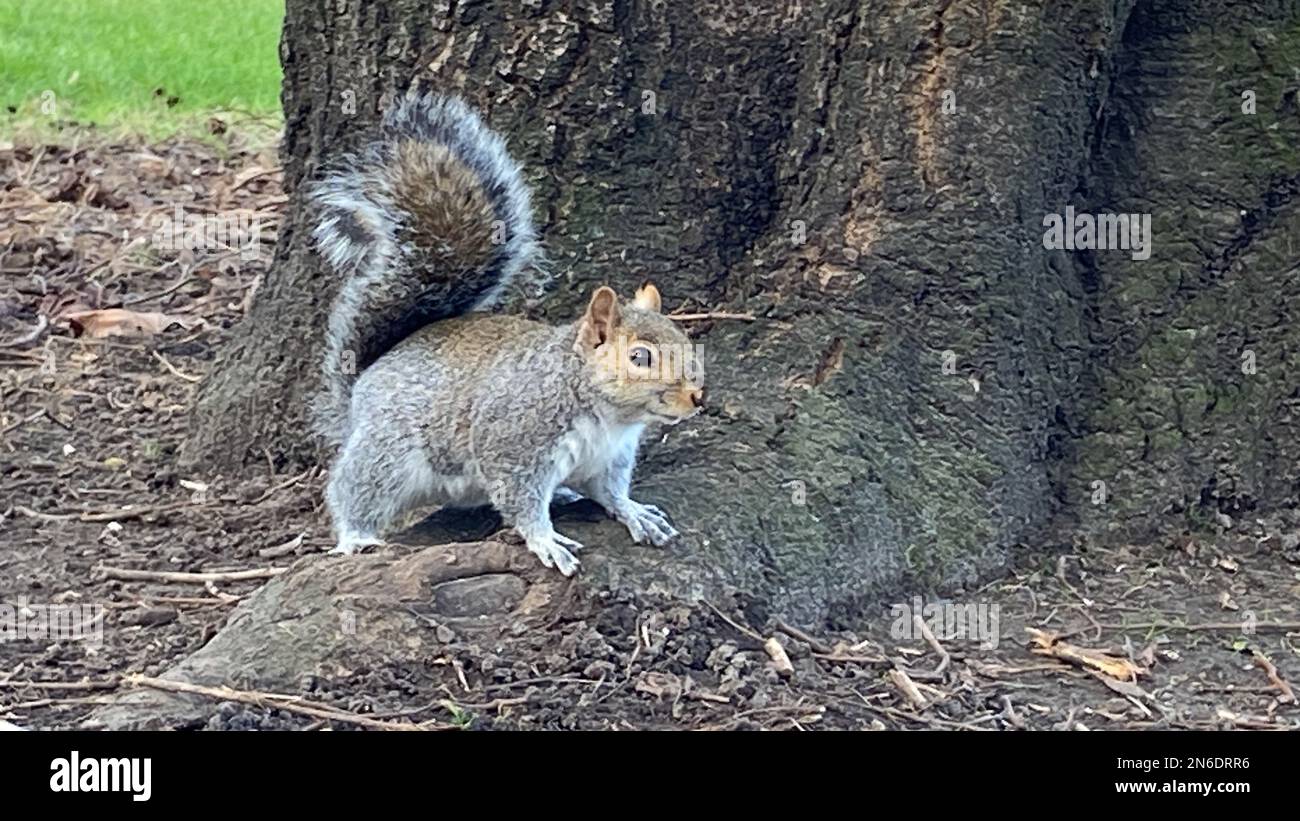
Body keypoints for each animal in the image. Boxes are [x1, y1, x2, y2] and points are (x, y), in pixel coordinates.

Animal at [308, 92, 707, 574]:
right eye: (640, 357)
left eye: (685, 341)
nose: (697, 396)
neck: (607, 418)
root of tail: (364, 379)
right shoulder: (515, 444)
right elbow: (522, 500)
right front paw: (545, 539)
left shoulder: (608, 459)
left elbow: (610, 491)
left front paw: (632, 511)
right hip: (387, 450)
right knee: (355, 489)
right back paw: (356, 536)